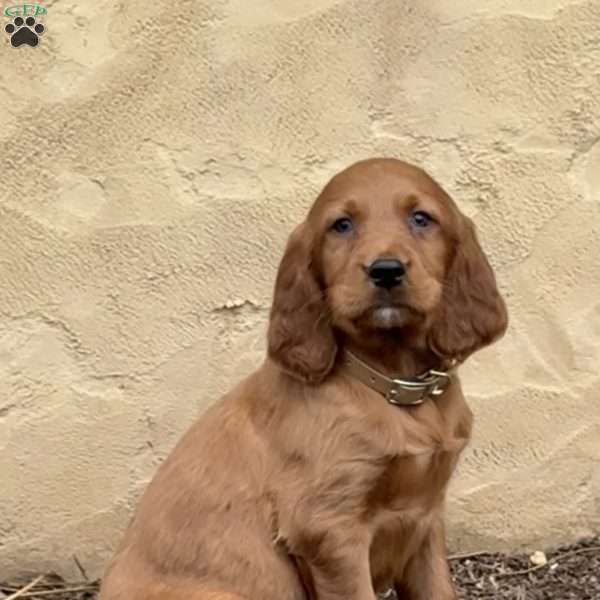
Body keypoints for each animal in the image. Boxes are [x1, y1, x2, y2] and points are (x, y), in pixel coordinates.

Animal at [101, 158, 508, 600]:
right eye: (342, 225)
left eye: (421, 218)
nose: (385, 271)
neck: (395, 386)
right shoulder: (330, 531)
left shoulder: (425, 518)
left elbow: (437, 589)